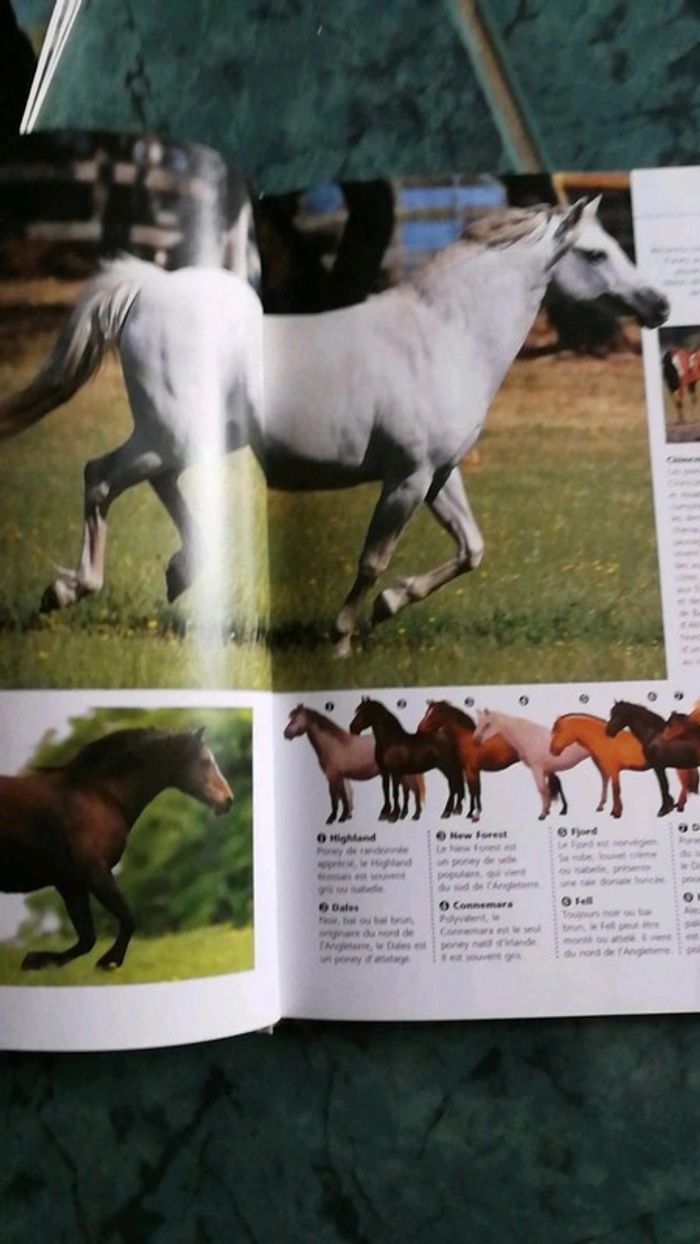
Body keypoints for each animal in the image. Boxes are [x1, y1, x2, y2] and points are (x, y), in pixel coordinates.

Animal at [0, 197, 668, 654]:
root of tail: (149, 288)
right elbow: (373, 558)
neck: (445, 336)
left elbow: (471, 549)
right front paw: (345, 634)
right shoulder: (406, 477)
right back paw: (67, 591)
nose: (659, 305)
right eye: (595, 253)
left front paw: (390, 606)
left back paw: (180, 571)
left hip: (187, 440)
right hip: (168, 435)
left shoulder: (439, 474)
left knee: (156, 484)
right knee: (100, 477)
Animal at [0, 726, 233, 971]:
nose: (228, 800)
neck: (100, 797)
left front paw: (34, 961)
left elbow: (87, 939)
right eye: (205, 761)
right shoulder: (94, 873)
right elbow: (127, 919)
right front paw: (110, 962)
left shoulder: (70, 883)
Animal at [283, 703, 424, 823]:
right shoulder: (340, 776)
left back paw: (413, 815)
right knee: (406, 791)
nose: (286, 734)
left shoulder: (332, 776)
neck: (333, 745)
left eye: (295, 719)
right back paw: (402, 814)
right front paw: (344, 816)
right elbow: (344, 796)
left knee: (413, 790)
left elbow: (334, 797)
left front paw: (333, 818)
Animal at [415, 698, 564, 822]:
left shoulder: (472, 770)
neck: (468, 740)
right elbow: (473, 791)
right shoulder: (469, 771)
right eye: (427, 712)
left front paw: (475, 815)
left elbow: (475, 791)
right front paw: (470, 813)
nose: (419, 730)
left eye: (434, 714)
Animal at [550, 712, 698, 818]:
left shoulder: (613, 769)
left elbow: (616, 789)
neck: (604, 740)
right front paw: (603, 807)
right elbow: (606, 785)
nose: (552, 751)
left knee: (684, 783)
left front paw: (616, 812)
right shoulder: (604, 769)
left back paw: (678, 806)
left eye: (559, 731)